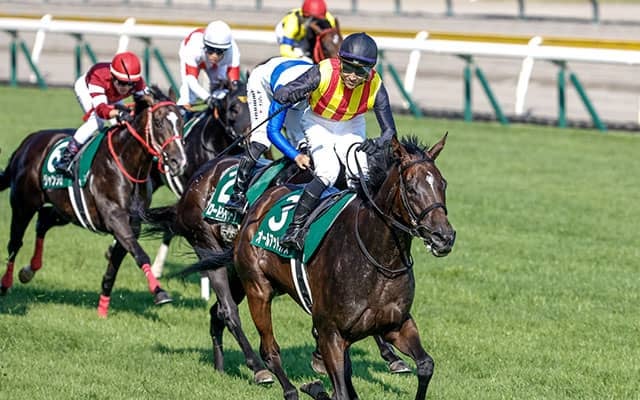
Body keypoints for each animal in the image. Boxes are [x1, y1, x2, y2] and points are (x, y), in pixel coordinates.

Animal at [0, 86, 186, 317]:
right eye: (159, 122)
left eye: (181, 121)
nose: (179, 162)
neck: (125, 163)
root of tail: (28, 142)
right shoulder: (116, 219)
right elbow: (141, 255)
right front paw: (159, 292)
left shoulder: (131, 225)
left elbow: (113, 269)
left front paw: (103, 309)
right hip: (23, 204)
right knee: (15, 243)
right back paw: (6, 284)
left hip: (66, 210)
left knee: (43, 220)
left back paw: (29, 270)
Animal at [184, 134, 456, 399]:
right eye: (411, 188)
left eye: (442, 184)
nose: (444, 237)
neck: (378, 258)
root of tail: (256, 206)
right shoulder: (330, 333)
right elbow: (341, 389)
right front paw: (317, 385)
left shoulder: (396, 324)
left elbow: (425, 365)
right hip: (256, 288)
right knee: (267, 347)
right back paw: (278, 382)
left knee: (220, 310)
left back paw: (221, 363)